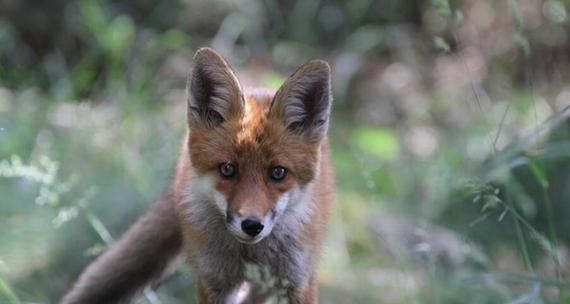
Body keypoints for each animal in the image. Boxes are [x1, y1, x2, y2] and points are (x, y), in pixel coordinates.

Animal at [60, 47, 336, 304]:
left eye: (278, 172)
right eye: (227, 169)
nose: (252, 226)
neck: (249, 253)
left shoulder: (298, 282)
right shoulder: (213, 282)